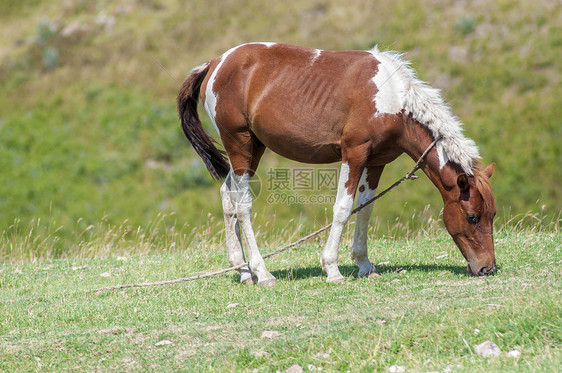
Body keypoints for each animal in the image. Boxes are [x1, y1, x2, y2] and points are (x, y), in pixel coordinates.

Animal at [176, 42, 494, 284]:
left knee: (228, 196)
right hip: (239, 144)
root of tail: (216, 63)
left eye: (492, 215)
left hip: (254, 148)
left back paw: (242, 270)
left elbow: (365, 209)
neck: (392, 99)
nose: (487, 267)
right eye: (472, 217)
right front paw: (332, 268)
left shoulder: (376, 162)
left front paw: (364, 264)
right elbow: (342, 209)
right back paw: (261, 272)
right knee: (243, 206)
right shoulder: (354, 154)